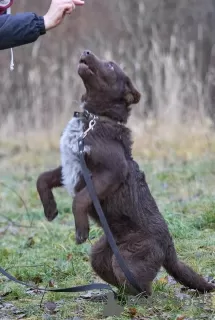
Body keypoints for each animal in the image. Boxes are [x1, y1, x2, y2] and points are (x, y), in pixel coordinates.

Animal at [36, 50, 214, 298]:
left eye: (111, 66)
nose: (86, 51)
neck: (93, 119)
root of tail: (168, 247)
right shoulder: (69, 166)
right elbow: (42, 178)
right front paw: (50, 210)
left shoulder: (112, 171)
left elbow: (80, 198)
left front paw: (81, 230)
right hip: (100, 254)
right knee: (115, 276)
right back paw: (110, 296)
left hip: (130, 259)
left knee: (143, 288)